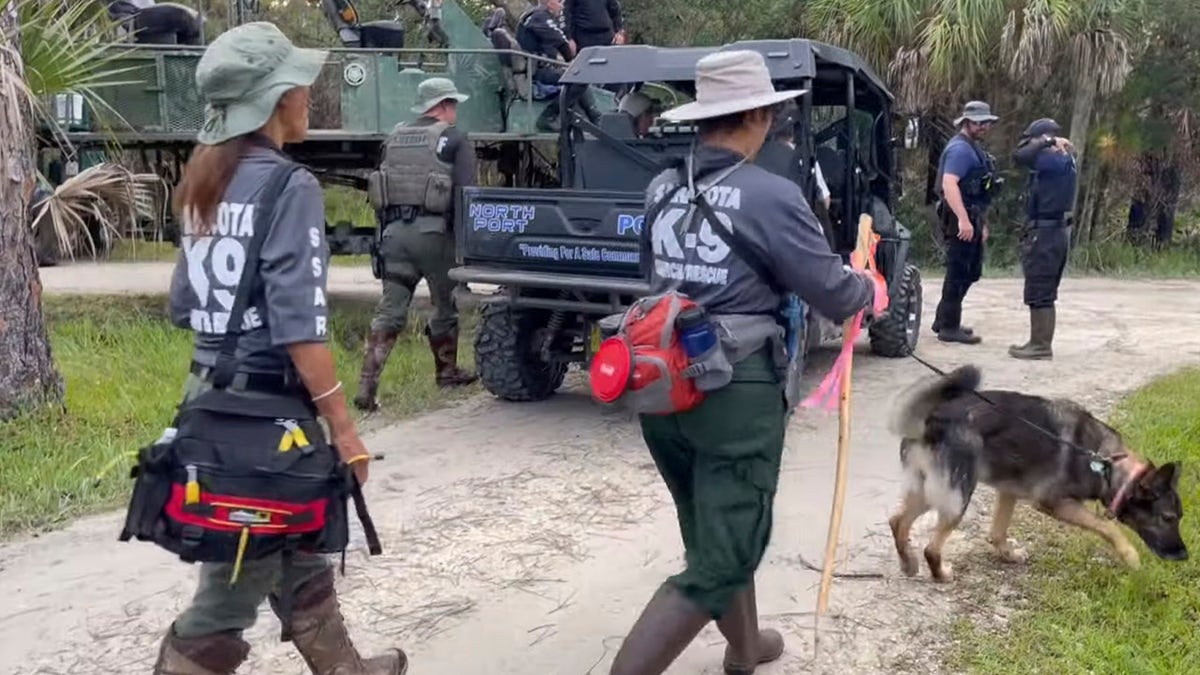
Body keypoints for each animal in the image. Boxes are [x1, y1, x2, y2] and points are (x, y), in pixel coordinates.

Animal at [888, 362, 1185, 578]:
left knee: (897, 521)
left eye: (1179, 518)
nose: (1184, 556)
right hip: (957, 495)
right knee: (931, 548)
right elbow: (1107, 527)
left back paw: (908, 563)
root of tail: (934, 418)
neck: (1107, 463)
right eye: (1168, 518)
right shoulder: (1055, 504)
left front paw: (1007, 554)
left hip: (930, 489)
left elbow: (997, 532)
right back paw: (940, 574)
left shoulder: (1008, 493)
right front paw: (1129, 555)